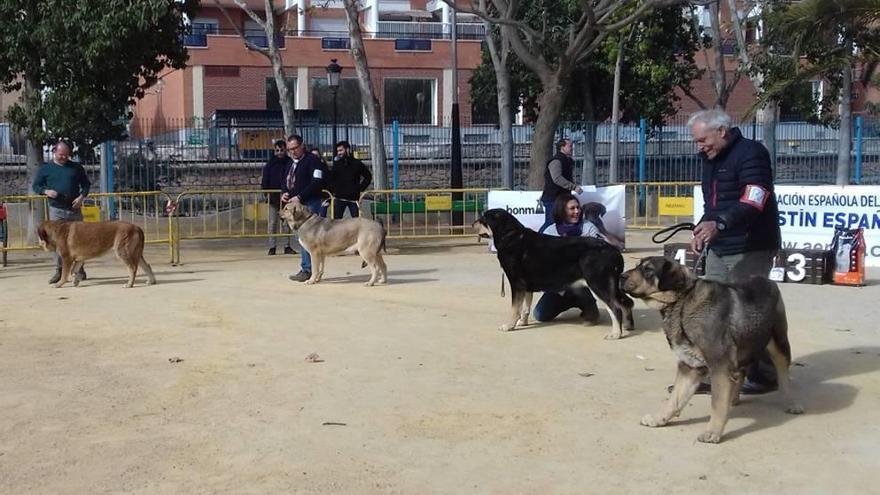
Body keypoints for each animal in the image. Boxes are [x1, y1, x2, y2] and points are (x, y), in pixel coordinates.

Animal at [474, 207, 632, 340]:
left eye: (483, 218)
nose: (472, 224)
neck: (510, 236)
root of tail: (614, 251)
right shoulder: (526, 285)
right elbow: (525, 307)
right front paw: (522, 322)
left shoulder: (516, 283)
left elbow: (515, 308)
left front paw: (509, 325)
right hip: (610, 285)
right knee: (626, 302)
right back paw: (627, 326)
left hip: (598, 284)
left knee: (616, 308)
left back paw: (616, 334)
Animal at [620, 258, 804, 444]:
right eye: (637, 266)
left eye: (648, 270)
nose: (621, 276)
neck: (682, 301)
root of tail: (768, 280)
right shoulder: (690, 366)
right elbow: (675, 399)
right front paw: (659, 419)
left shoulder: (719, 366)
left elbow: (717, 403)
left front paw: (712, 432)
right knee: (741, 373)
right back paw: (734, 398)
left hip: (779, 345)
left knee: (784, 377)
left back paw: (791, 403)